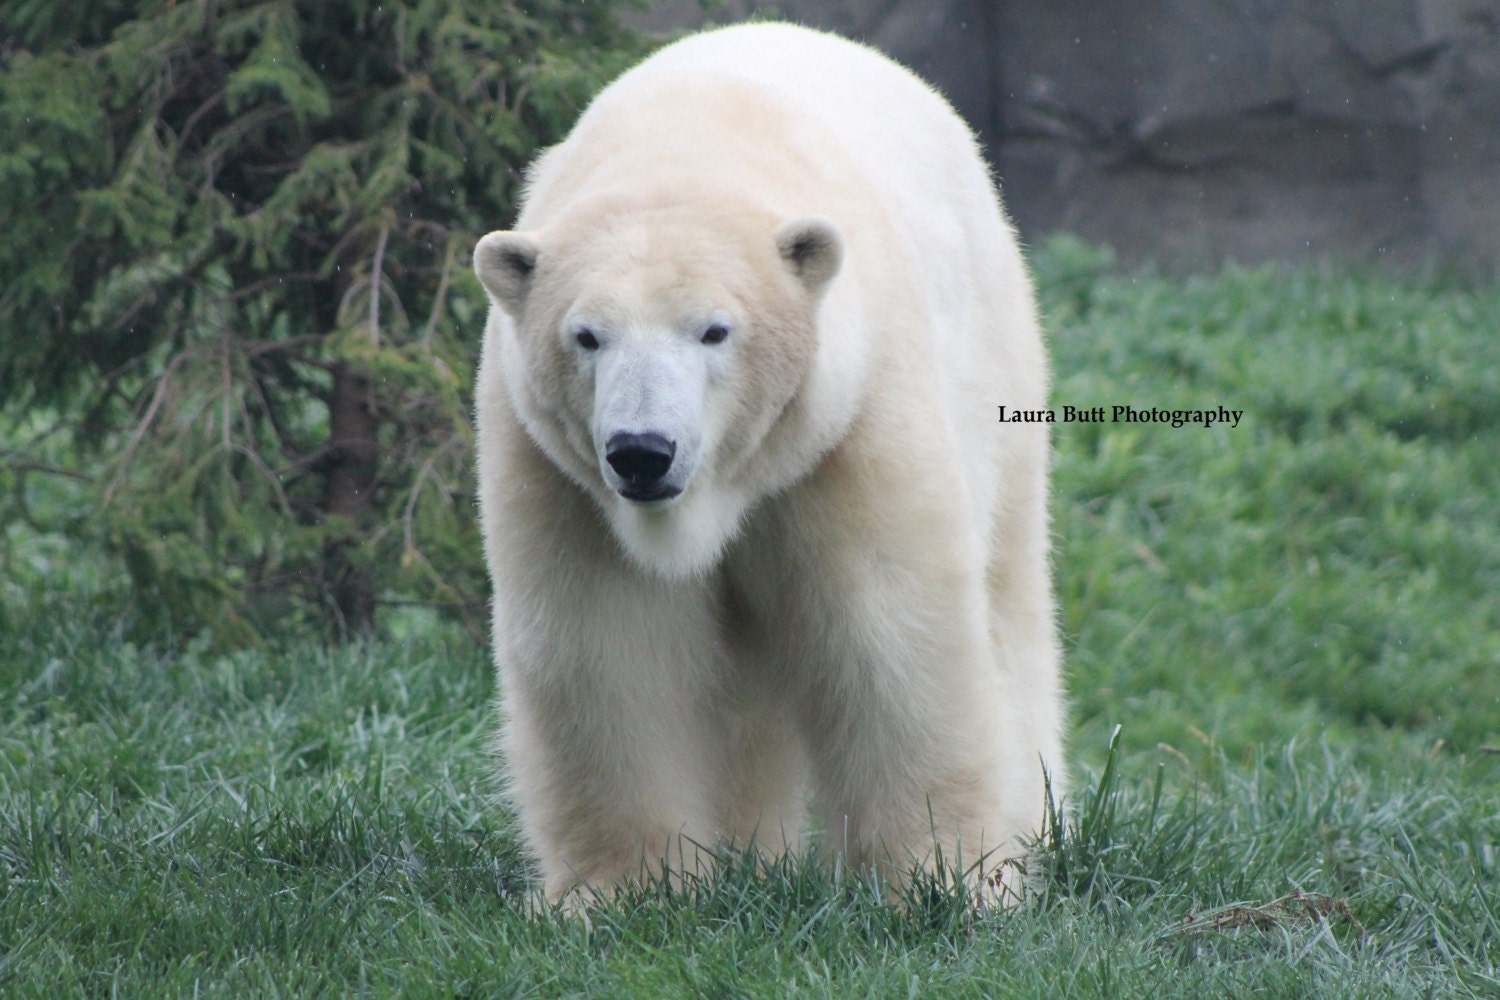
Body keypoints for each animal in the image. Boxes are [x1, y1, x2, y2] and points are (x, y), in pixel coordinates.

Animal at [472, 21, 1065, 906]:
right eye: (586, 336)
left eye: (714, 330)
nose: (642, 452)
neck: (684, 148)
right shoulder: (557, 471)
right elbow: (609, 644)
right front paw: (628, 892)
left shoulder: (848, 422)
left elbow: (888, 628)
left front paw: (945, 880)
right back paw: (754, 857)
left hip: (997, 364)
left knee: (1009, 595)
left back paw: (1038, 827)